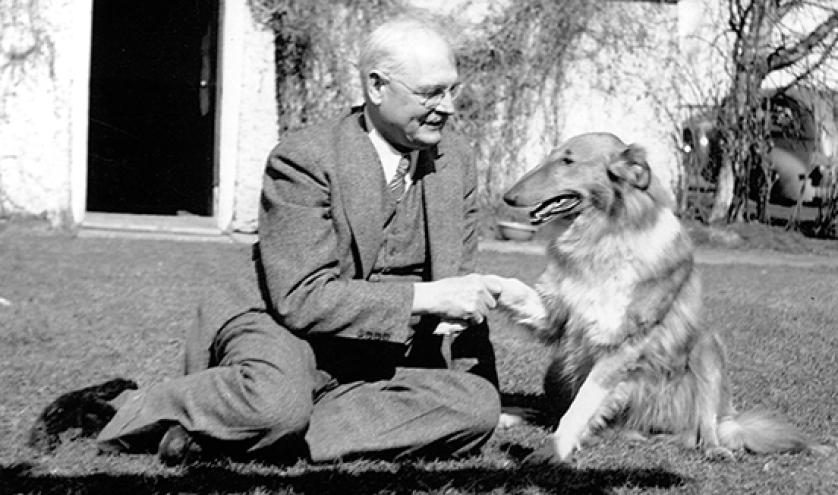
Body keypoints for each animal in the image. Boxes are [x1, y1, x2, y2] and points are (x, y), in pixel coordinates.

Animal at [492, 133, 820, 464]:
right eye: (552, 156)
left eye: (567, 161)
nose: (507, 197)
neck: (604, 236)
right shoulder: (557, 313)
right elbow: (513, 289)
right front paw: (486, 285)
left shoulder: (623, 344)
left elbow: (582, 406)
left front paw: (553, 450)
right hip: (557, 369)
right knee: (550, 411)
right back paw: (510, 415)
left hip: (707, 349)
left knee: (707, 426)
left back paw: (714, 448)